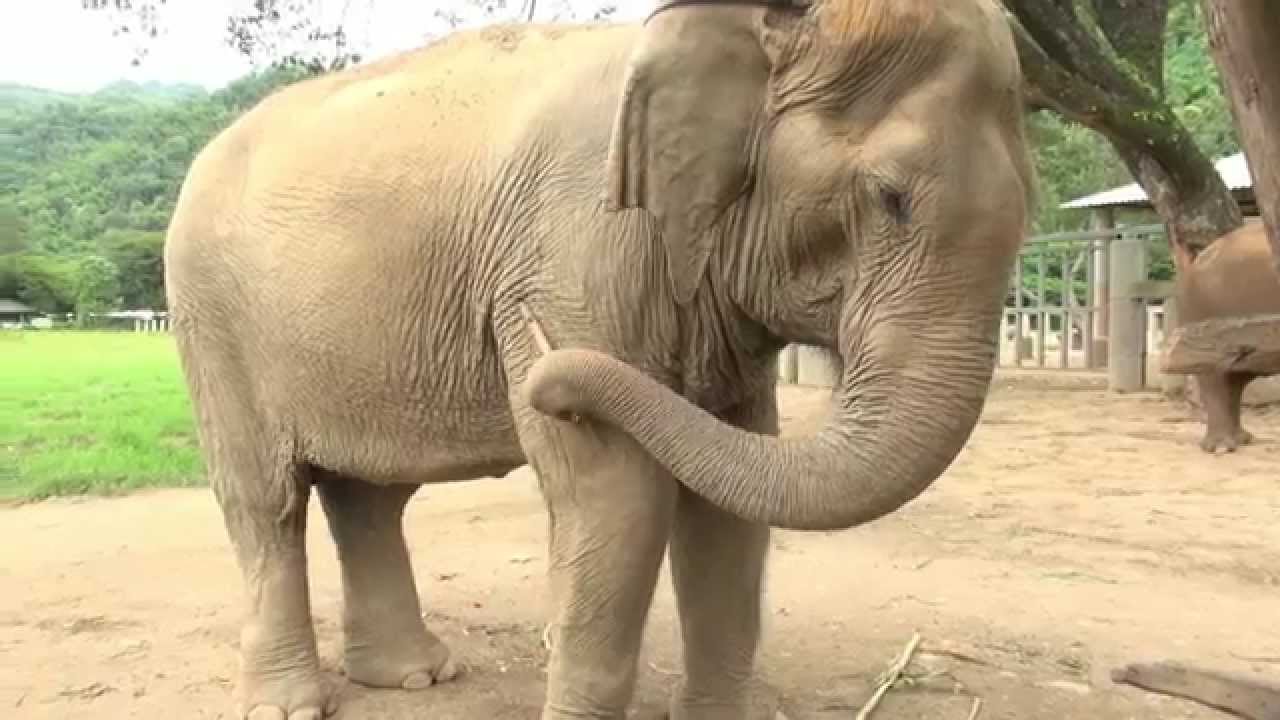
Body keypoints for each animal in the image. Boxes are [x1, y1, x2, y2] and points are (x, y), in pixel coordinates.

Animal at [162, 0, 1034, 718]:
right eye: (892, 197)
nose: (538, 364)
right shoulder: (579, 253)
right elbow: (617, 494)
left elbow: (727, 500)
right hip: (212, 318)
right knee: (264, 501)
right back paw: (286, 706)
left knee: (367, 495)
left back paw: (414, 678)